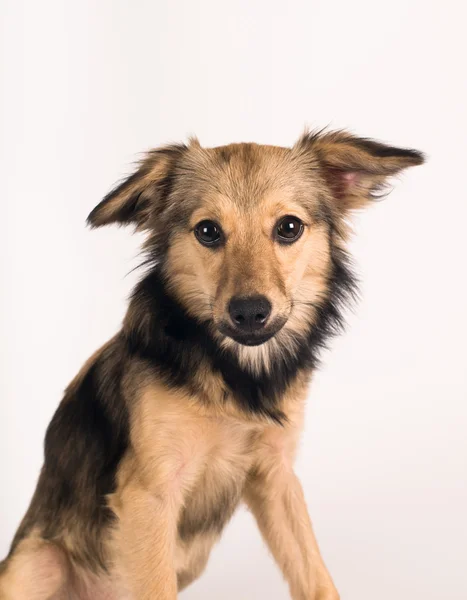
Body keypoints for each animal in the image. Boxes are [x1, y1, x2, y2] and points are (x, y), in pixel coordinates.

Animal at [0, 129, 424, 596]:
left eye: (288, 227)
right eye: (208, 231)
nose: (250, 312)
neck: (232, 376)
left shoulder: (275, 475)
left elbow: (314, 576)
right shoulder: (149, 494)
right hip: (41, 561)